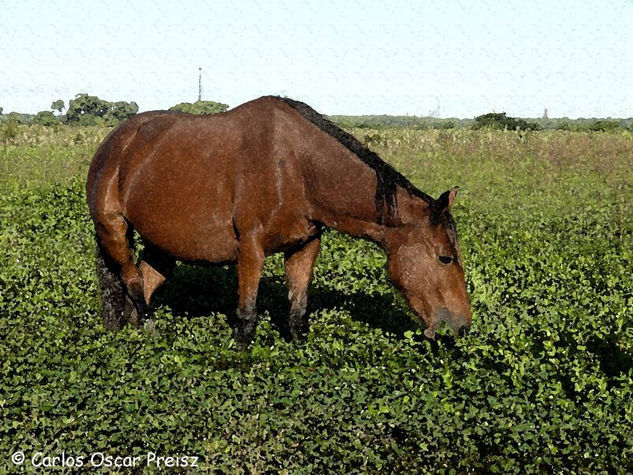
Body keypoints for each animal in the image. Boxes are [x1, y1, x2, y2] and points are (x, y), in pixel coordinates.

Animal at [85, 96, 470, 348]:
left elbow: (298, 312)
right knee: (132, 281)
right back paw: (149, 331)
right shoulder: (250, 249)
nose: (462, 326)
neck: (296, 169)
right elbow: (246, 317)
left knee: (144, 283)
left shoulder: (305, 246)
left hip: (162, 245)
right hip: (112, 229)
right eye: (445, 257)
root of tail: (116, 140)